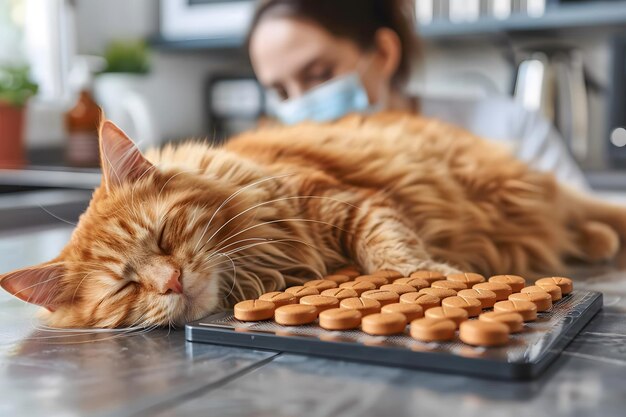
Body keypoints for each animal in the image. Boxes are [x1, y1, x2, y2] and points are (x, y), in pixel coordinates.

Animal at [1, 112, 624, 326]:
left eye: (163, 236)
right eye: (124, 287)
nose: (172, 281)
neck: (261, 266)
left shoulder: (346, 200)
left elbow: (391, 250)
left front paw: (435, 275)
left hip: (507, 187)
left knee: (583, 207)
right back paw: (598, 243)